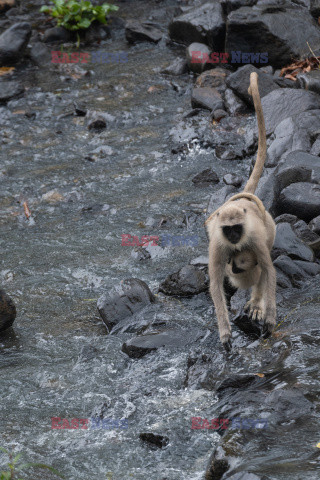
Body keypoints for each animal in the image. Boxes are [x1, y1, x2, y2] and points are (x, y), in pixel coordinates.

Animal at [205, 72, 278, 348]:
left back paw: (257, 302)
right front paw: (225, 331)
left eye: (237, 228)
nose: (235, 236)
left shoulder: (254, 237)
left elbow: (268, 270)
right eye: (229, 230)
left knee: (259, 267)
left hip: (269, 227)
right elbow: (216, 282)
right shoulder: (217, 242)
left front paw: (268, 318)